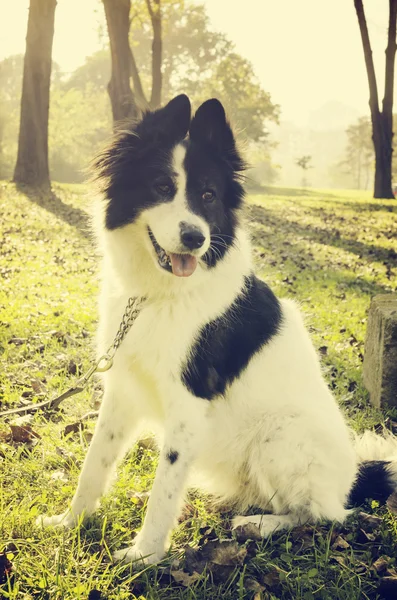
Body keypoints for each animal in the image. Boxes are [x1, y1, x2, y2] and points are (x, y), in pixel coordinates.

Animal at [40, 92, 396, 564]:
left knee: (322, 514)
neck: (160, 294)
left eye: (208, 195)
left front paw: (145, 556)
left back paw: (258, 525)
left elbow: (165, 487)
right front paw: (70, 523)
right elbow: (94, 462)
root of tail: (354, 478)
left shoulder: (188, 403)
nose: (195, 238)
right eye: (161, 187)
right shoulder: (123, 391)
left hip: (280, 435)